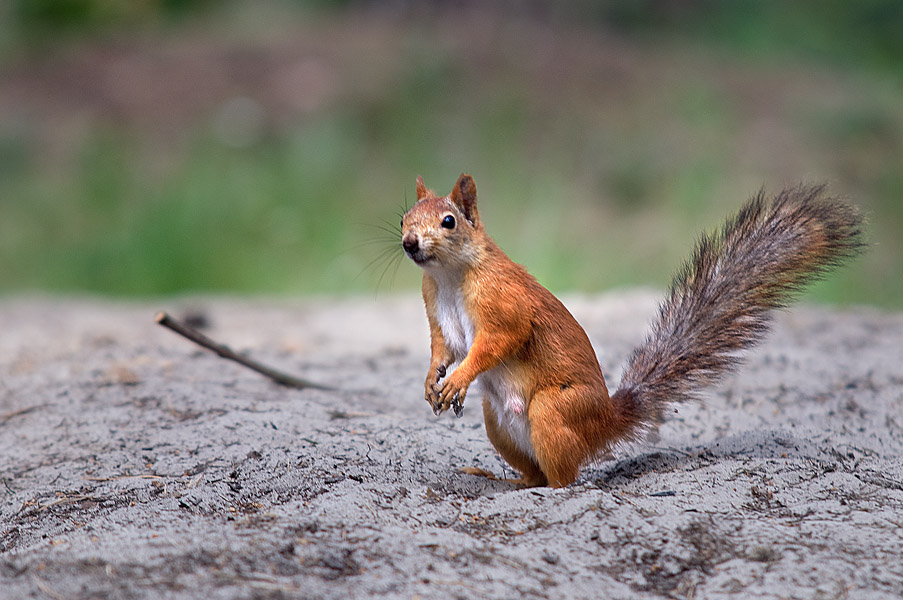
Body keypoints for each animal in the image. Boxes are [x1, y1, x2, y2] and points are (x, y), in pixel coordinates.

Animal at [400, 175, 860, 488]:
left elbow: (496, 343)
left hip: (554, 410)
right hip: (498, 425)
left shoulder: (505, 306)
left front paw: (458, 379)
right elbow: (443, 349)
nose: (409, 243)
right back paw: (506, 480)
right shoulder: (437, 314)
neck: (450, 277)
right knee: (538, 474)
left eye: (449, 221)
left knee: (564, 480)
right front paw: (431, 381)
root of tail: (606, 420)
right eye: (404, 217)